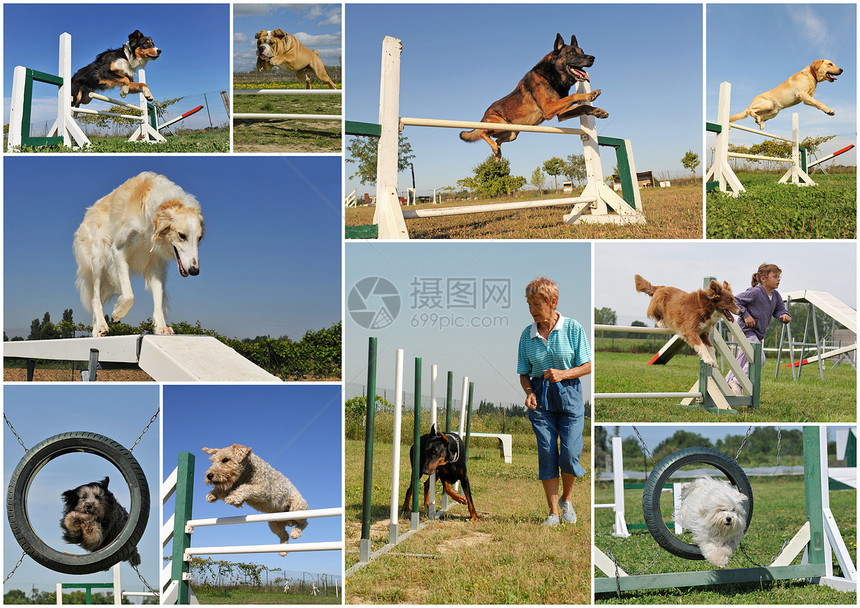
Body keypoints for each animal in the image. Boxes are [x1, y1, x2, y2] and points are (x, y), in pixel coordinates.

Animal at [460, 33, 608, 159]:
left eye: (582, 51)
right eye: (571, 52)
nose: (592, 58)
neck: (552, 74)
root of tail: (485, 115)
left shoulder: (560, 113)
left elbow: (582, 107)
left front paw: (597, 111)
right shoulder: (549, 108)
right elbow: (574, 96)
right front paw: (590, 95)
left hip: (511, 134)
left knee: (498, 140)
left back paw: (497, 153)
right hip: (499, 125)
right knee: (483, 133)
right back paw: (494, 148)